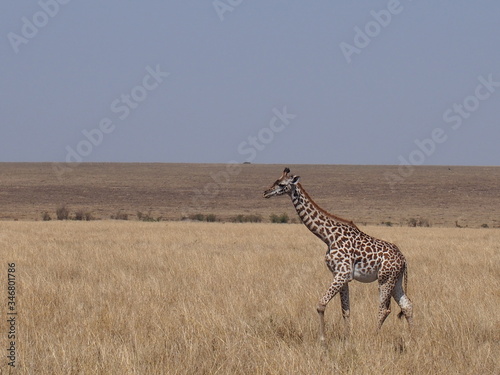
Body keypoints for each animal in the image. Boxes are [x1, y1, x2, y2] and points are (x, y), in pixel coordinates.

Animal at [264, 169, 412, 342]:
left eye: (281, 184)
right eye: (275, 181)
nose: (266, 192)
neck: (328, 236)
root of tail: (403, 259)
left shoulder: (343, 273)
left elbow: (321, 305)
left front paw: (322, 339)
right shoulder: (340, 275)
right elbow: (345, 310)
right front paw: (347, 338)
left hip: (385, 279)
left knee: (384, 309)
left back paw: (374, 337)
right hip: (396, 279)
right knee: (407, 305)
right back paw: (412, 337)